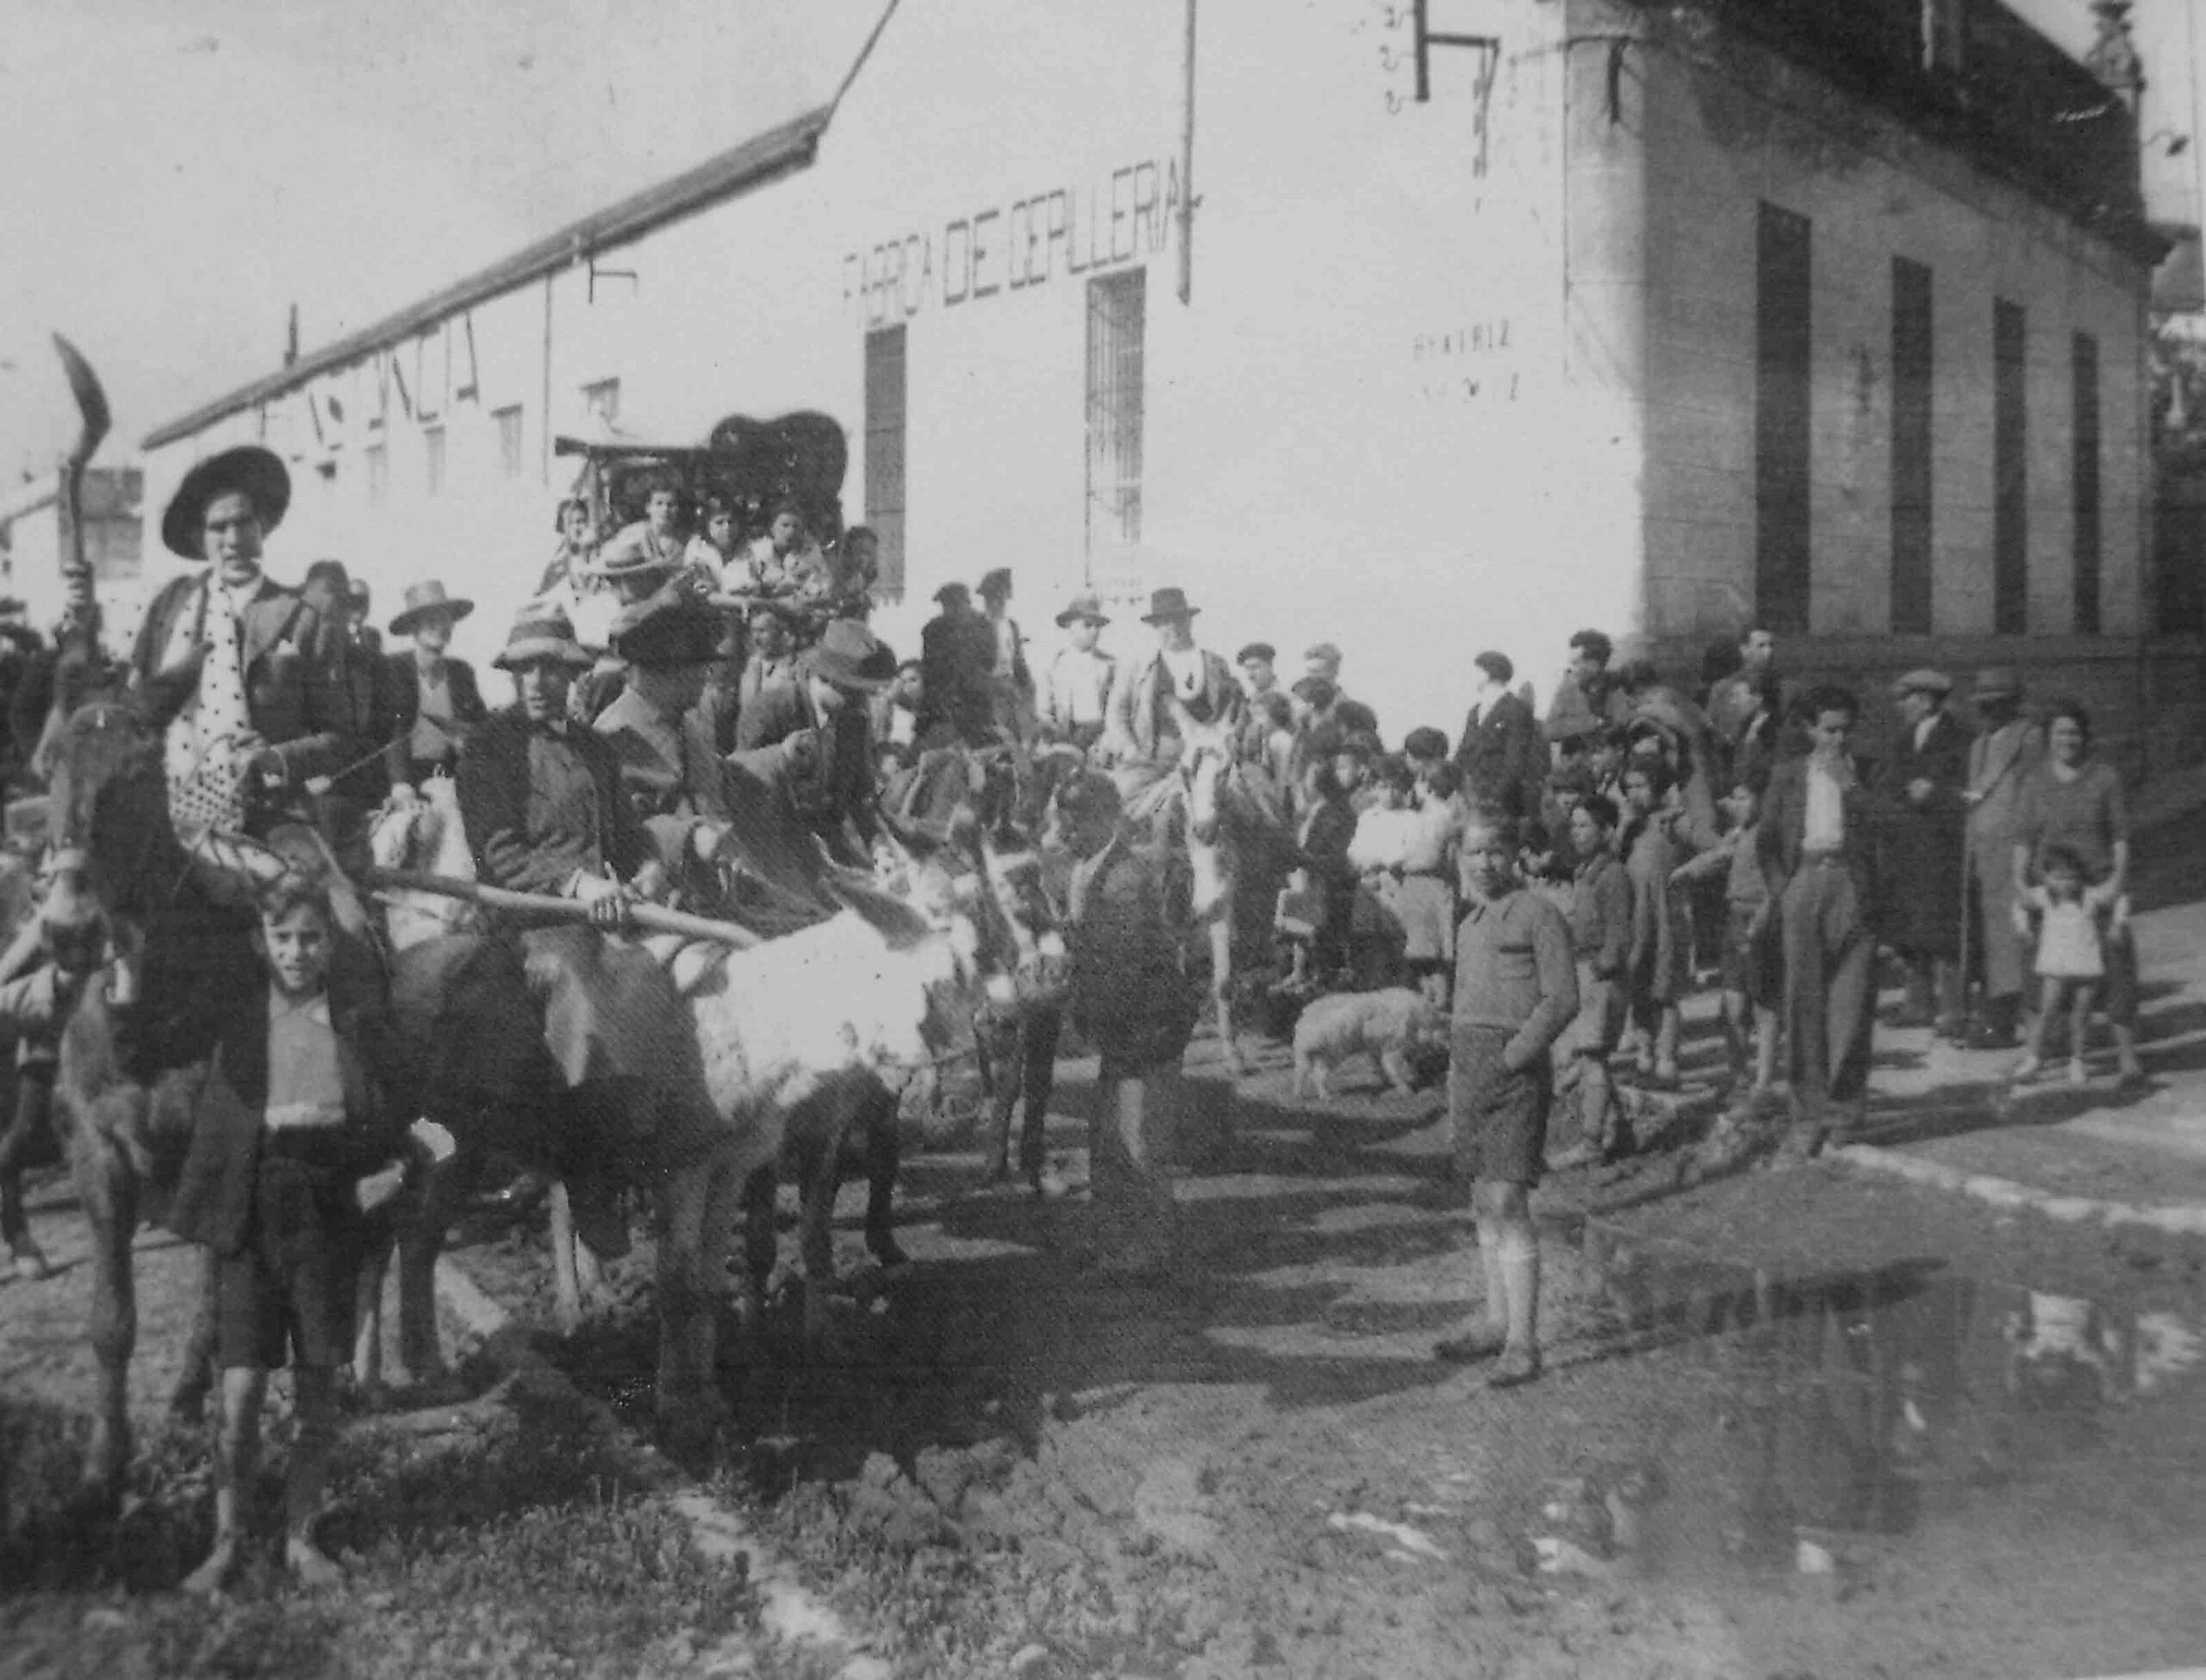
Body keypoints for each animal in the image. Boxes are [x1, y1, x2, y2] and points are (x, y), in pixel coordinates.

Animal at [1291, 988, 1447, 1100]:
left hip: (1308, 1054)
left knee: (1303, 1072)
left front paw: (1388, 1082)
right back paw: (1325, 1095)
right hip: (1333, 1052)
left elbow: (1381, 1065)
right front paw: (1406, 1090)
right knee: (1318, 1074)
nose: (1446, 1046)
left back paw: (1301, 1094)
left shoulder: (1378, 1048)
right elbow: (1393, 1068)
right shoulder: (1393, 1046)